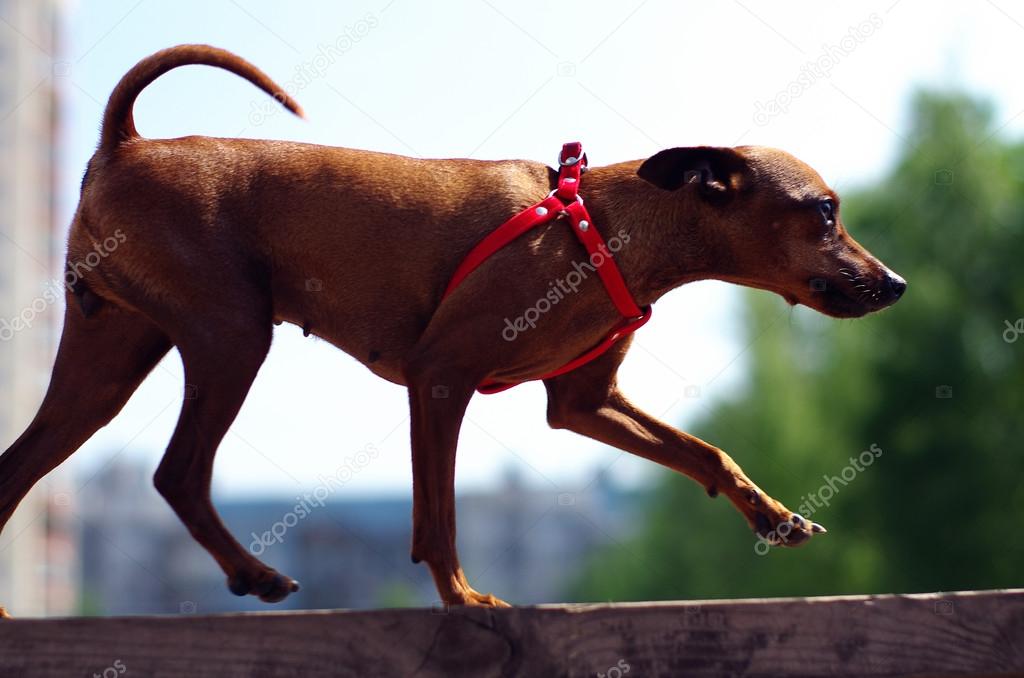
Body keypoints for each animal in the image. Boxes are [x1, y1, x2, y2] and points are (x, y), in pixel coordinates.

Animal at [0, 47, 909, 610]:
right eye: (824, 213)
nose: (896, 284)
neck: (600, 226)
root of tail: (124, 144)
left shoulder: (582, 404)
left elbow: (704, 451)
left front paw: (772, 516)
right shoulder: (440, 378)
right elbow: (437, 516)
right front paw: (463, 599)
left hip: (104, 368)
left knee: (18, 473)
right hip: (231, 335)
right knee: (177, 474)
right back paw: (255, 575)